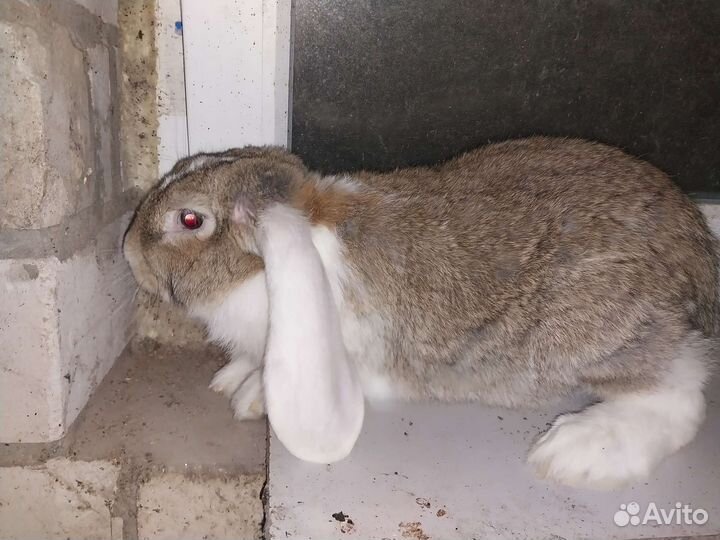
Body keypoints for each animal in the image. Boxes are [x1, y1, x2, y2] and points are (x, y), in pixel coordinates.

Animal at [123, 137, 719, 489]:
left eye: (191, 219)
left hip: (597, 337)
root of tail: (696, 246)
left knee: (679, 397)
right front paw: (231, 380)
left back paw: (575, 450)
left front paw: (250, 399)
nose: (126, 251)